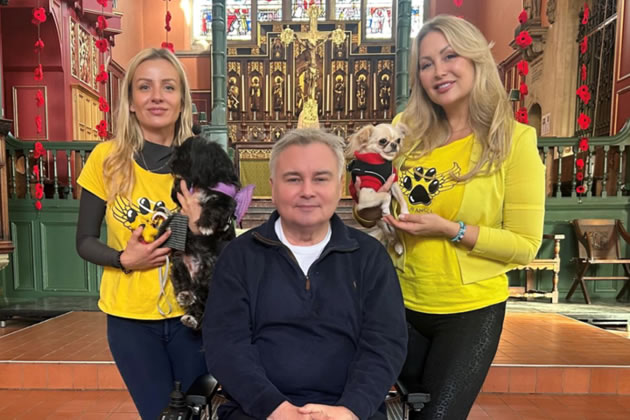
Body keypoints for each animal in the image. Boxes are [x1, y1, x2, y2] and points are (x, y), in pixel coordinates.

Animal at [170, 136, 254, 330]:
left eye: (183, 156)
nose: (170, 164)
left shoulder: (225, 201)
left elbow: (214, 206)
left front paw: (206, 224)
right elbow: (177, 190)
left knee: (203, 300)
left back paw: (193, 317)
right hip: (179, 264)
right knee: (188, 288)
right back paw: (187, 300)